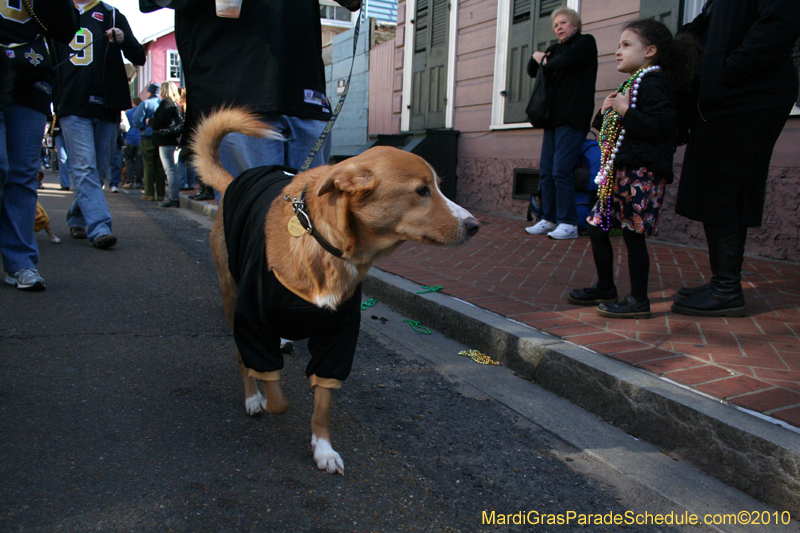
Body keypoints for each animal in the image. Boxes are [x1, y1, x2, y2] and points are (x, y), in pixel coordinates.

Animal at [192, 108, 482, 474]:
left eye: (439, 187)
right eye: (421, 190)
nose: (475, 226)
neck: (325, 246)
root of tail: (234, 182)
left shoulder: (338, 337)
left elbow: (323, 403)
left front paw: (323, 447)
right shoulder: (252, 321)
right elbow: (276, 395)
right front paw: (265, 397)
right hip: (232, 295)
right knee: (242, 357)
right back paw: (252, 395)